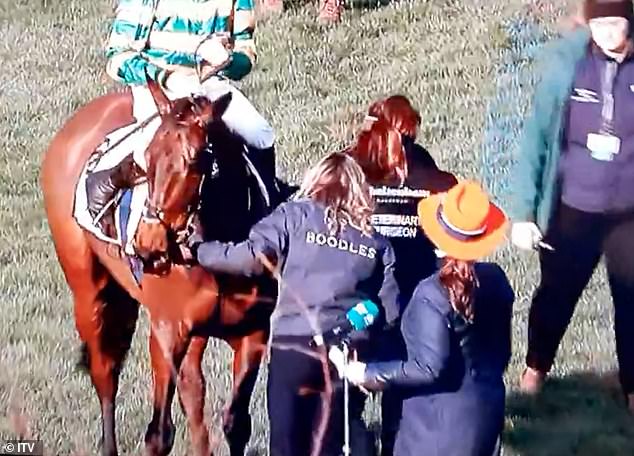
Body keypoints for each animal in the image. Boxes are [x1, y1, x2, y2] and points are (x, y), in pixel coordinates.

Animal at [40, 78, 276, 456]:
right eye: (145, 158)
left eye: (197, 158)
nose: (148, 241)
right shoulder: (167, 332)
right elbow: (159, 433)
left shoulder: (252, 332)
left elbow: (236, 422)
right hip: (89, 293)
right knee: (105, 373)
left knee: (193, 393)